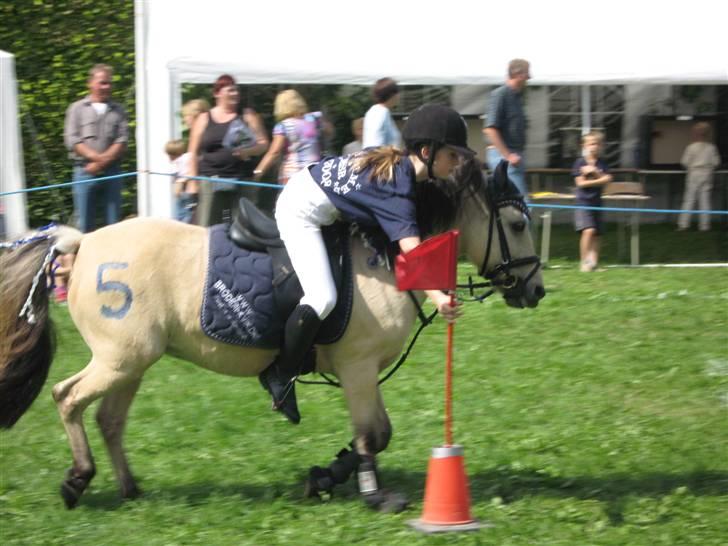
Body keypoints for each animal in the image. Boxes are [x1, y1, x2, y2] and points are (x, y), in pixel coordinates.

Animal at [0, 157, 544, 510]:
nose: (536, 290)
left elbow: (378, 434)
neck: (386, 258)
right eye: (516, 224)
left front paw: (324, 478)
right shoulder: (358, 367)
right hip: (119, 358)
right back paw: (77, 481)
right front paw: (372, 494)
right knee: (68, 398)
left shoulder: (361, 372)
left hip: (132, 361)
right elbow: (371, 434)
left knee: (109, 419)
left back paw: (131, 489)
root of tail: (82, 243)